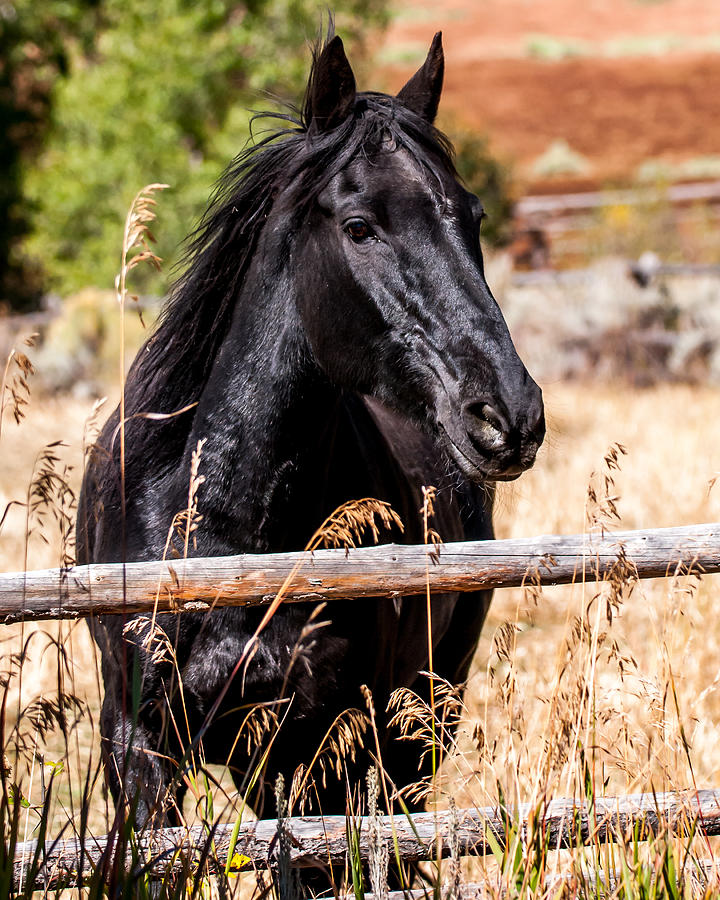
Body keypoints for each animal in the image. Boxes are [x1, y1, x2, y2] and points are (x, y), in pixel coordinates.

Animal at [74, 35, 544, 832]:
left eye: (472, 217)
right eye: (360, 226)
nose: (508, 416)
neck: (219, 536)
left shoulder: (317, 745)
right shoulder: (138, 746)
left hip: (416, 723)